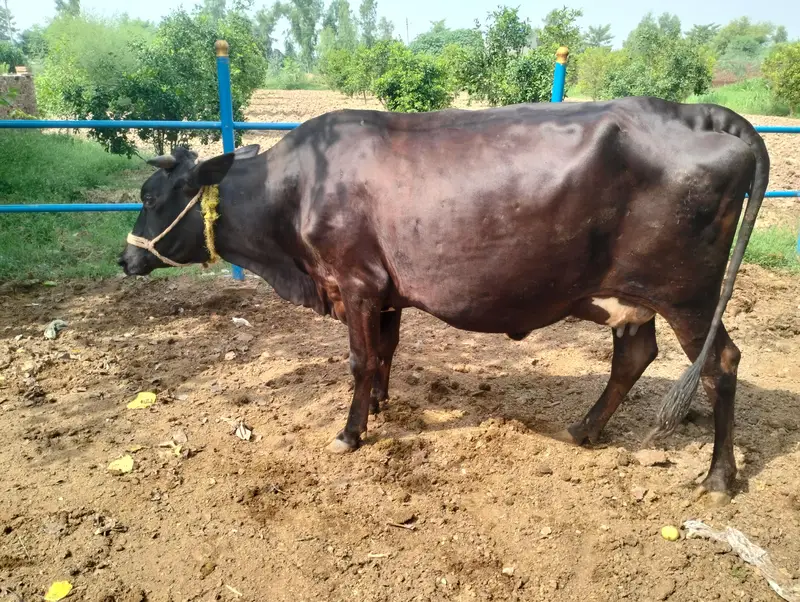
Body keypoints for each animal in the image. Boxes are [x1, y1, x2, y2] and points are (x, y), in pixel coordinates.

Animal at [118, 96, 769, 504]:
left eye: (151, 196)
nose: (125, 259)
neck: (297, 190)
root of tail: (695, 111)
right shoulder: (385, 292)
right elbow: (384, 352)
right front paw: (380, 408)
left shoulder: (356, 281)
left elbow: (360, 358)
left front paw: (350, 432)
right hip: (629, 294)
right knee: (634, 355)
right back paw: (583, 431)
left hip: (690, 295)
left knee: (720, 363)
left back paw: (719, 477)